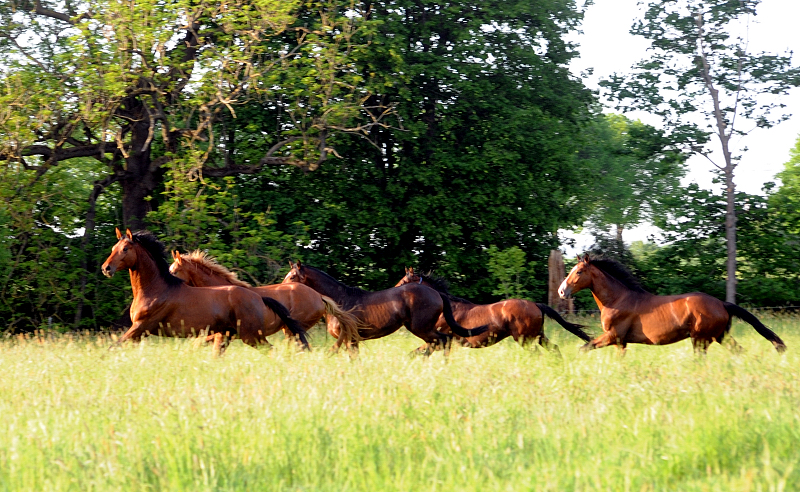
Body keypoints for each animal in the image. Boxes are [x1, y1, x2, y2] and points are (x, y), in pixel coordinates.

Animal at [103, 229, 310, 352]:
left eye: (126, 248)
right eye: (113, 247)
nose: (106, 268)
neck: (155, 290)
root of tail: (258, 297)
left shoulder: (140, 326)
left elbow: (113, 346)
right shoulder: (140, 333)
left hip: (251, 335)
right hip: (233, 335)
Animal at [282, 262, 494, 354]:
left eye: (292, 276)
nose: (281, 288)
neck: (340, 301)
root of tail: (436, 294)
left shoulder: (349, 338)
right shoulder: (352, 340)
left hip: (421, 328)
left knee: (442, 341)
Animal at [396, 268, 592, 352]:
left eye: (404, 281)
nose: (393, 292)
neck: (447, 309)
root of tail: (536, 305)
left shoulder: (438, 340)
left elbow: (416, 353)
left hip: (524, 338)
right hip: (538, 335)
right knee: (554, 349)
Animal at [556, 254, 788, 354]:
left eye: (579, 271)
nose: (561, 291)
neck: (617, 299)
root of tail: (722, 304)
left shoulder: (613, 336)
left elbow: (584, 348)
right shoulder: (620, 342)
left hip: (700, 339)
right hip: (719, 336)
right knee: (739, 351)